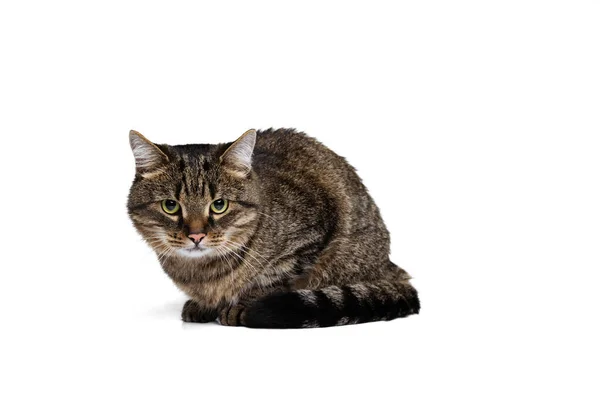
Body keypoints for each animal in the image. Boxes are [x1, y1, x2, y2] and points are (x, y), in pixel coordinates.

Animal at [127, 128, 418, 328]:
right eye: (170, 206)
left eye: (219, 205)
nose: (196, 235)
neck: (202, 273)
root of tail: (388, 267)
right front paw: (205, 305)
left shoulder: (309, 238)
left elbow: (274, 277)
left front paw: (244, 303)